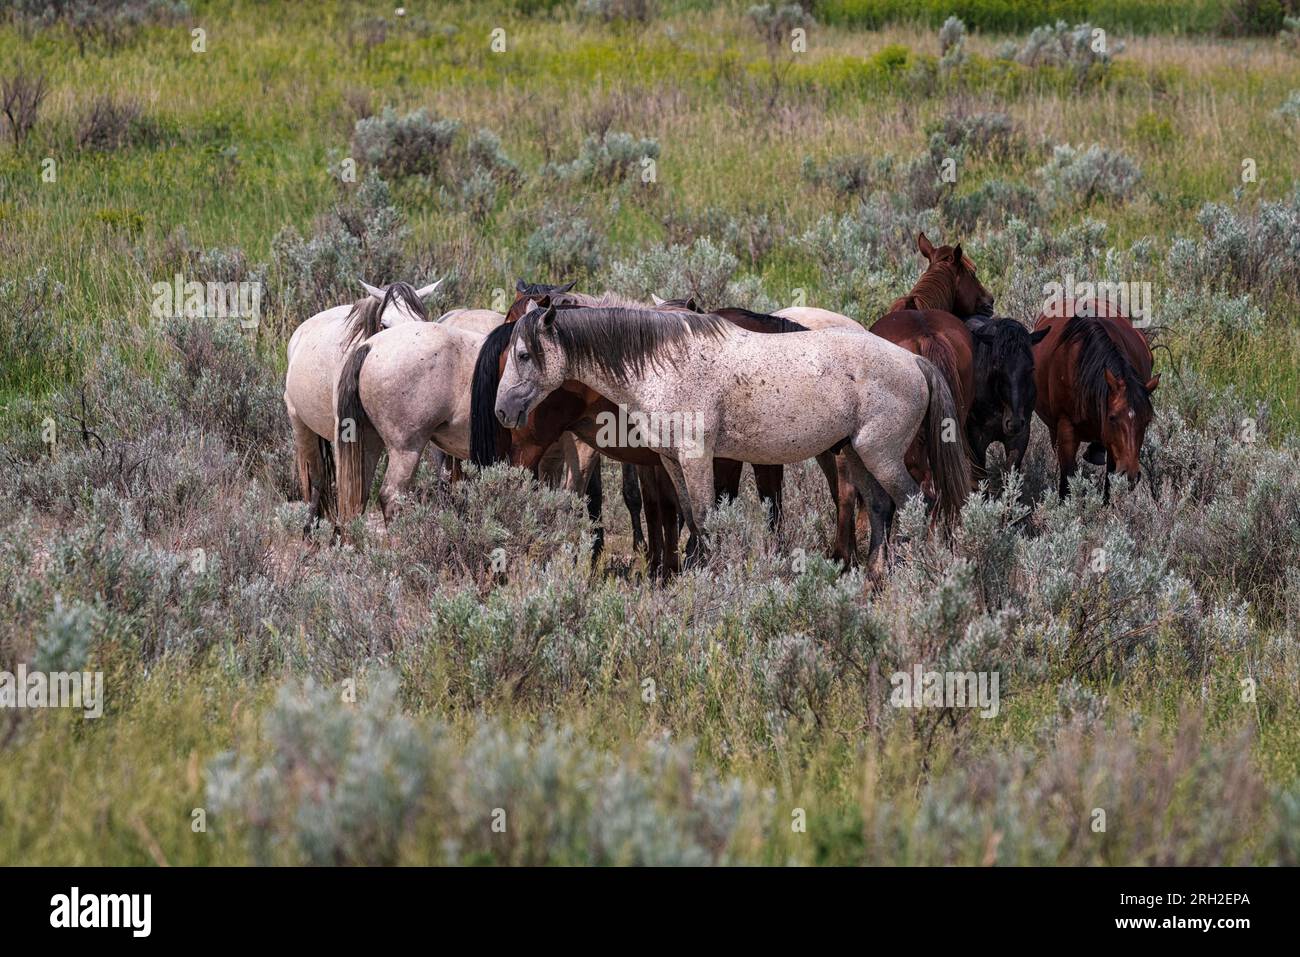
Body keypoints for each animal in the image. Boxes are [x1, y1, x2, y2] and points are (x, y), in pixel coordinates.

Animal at [284, 279, 439, 533]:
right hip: (301, 425)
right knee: (316, 479)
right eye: (385, 325)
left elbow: (362, 495)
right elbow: (347, 491)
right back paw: (308, 530)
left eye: (420, 322)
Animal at [494, 305, 969, 573]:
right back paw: (873, 578)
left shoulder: (697, 457)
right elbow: (689, 518)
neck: (665, 363)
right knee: (882, 507)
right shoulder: (672, 461)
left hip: (879, 455)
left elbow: (704, 520)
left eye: (524, 355)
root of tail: (913, 361)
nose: (502, 411)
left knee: (918, 503)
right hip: (854, 454)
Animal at [1031, 299, 1158, 501]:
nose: (1129, 475)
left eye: (1146, 421)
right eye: (1112, 417)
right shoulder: (1066, 429)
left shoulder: (1114, 448)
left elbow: (1108, 486)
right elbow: (1067, 481)